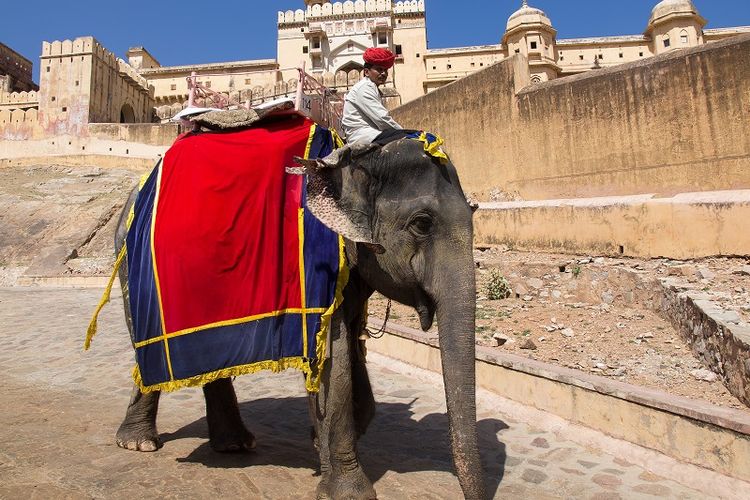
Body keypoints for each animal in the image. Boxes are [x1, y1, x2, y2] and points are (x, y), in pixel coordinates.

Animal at [114, 137, 484, 500]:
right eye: (422, 224)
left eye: (473, 212)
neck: (354, 159)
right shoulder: (317, 265)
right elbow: (334, 359)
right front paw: (347, 492)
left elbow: (347, 354)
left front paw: (320, 445)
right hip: (134, 268)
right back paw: (139, 443)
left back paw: (233, 444)